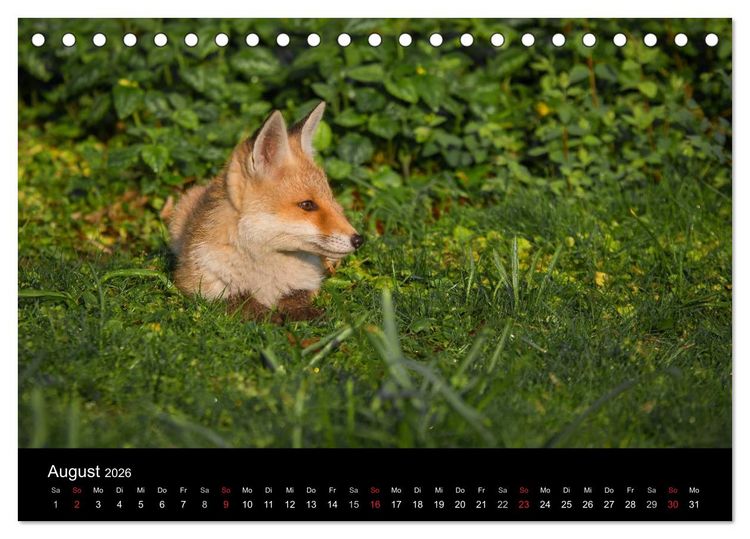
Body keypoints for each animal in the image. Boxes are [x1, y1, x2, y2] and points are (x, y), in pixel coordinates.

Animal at [166, 102, 363, 322]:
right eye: (307, 205)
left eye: (330, 199)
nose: (359, 240)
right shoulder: (197, 283)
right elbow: (241, 301)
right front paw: (268, 316)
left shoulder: (307, 284)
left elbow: (296, 297)